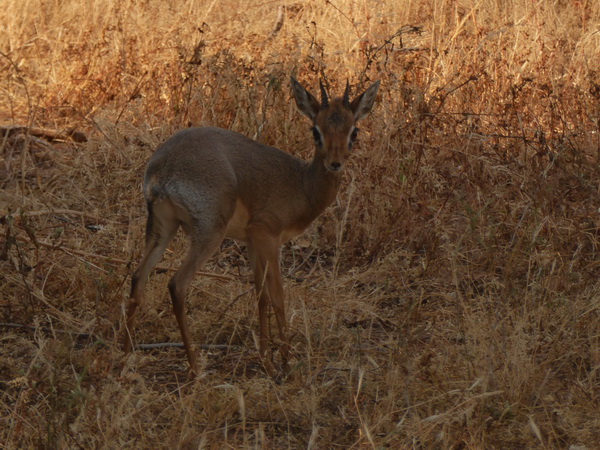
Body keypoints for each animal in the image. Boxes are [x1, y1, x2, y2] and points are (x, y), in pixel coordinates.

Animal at [123, 77, 380, 376]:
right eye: (316, 130)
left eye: (354, 131)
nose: (335, 163)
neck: (302, 185)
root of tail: (162, 169)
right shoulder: (268, 237)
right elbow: (278, 296)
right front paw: (286, 363)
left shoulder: (251, 243)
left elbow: (261, 297)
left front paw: (267, 362)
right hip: (209, 233)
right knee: (177, 284)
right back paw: (196, 367)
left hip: (162, 228)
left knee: (138, 276)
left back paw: (125, 354)